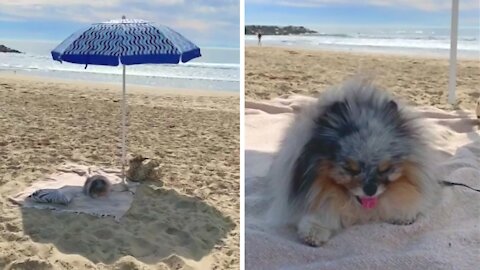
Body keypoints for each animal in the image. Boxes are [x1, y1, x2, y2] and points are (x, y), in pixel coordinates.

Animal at [266, 78, 442, 247]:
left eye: (385, 169)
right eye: (351, 169)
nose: (370, 189)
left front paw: (402, 214)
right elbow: (321, 213)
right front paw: (314, 231)